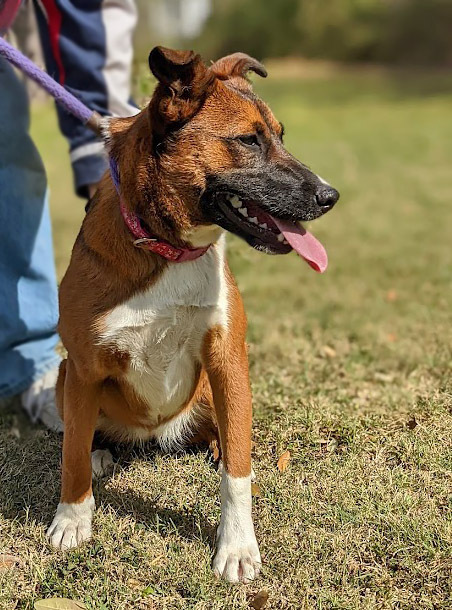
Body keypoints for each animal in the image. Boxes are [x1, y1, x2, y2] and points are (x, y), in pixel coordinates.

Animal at [47, 46, 338, 580]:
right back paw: (102, 451)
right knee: (84, 432)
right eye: (248, 140)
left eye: (281, 136)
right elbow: (72, 453)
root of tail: (154, 434)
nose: (331, 196)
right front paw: (73, 518)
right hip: (64, 377)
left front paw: (237, 546)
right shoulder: (84, 365)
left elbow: (237, 473)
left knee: (226, 437)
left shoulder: (228, 361)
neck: (170, 248)